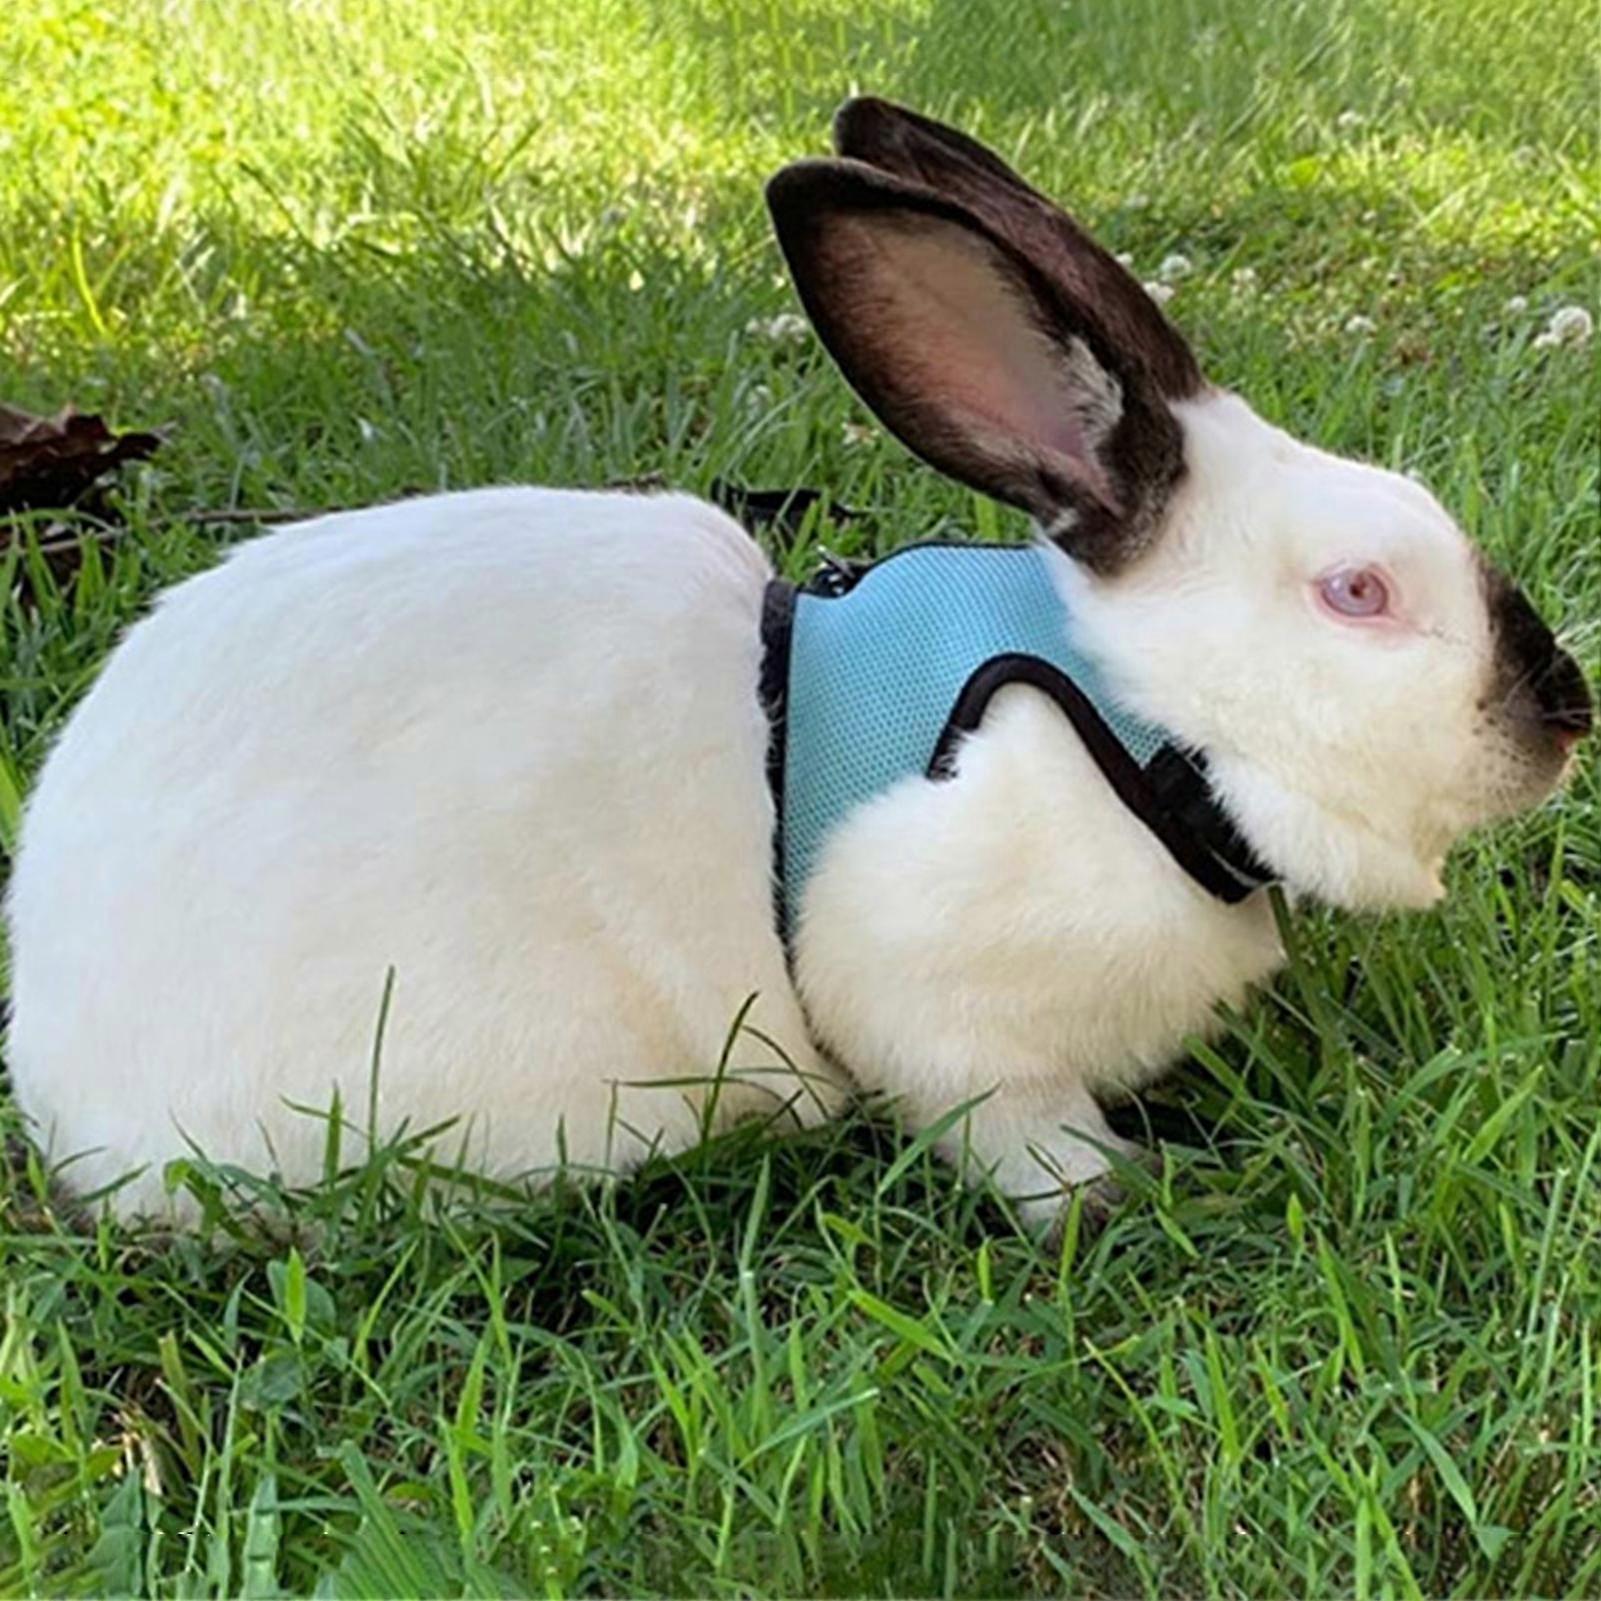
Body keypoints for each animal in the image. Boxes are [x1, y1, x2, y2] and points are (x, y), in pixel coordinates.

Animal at [5, 98, 1591, 1228]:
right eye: (1357, 591)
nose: (1565, 711)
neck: (1141, 729)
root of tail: (59, 1061)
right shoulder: (947, 1012)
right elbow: (1014, 1131)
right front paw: (1119, 1195)